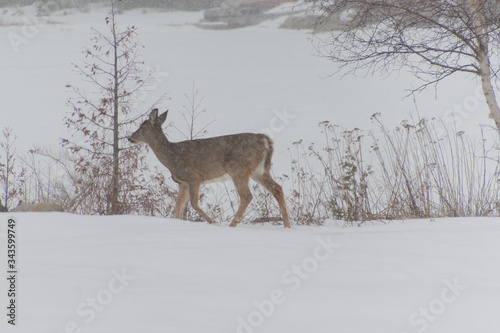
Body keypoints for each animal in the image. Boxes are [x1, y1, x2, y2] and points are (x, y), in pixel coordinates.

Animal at [129, 109, 292, 228]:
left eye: (141, 127)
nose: (129, 137)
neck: (172, 158)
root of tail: (265, 139)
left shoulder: (194, 177)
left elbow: (194, 204)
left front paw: (214, 222)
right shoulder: (183, 183)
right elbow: (178, 206)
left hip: (238, 169)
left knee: (247, 196)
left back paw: (231, 225)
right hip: (259, 171)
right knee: (277, 189)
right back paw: (287, 226)